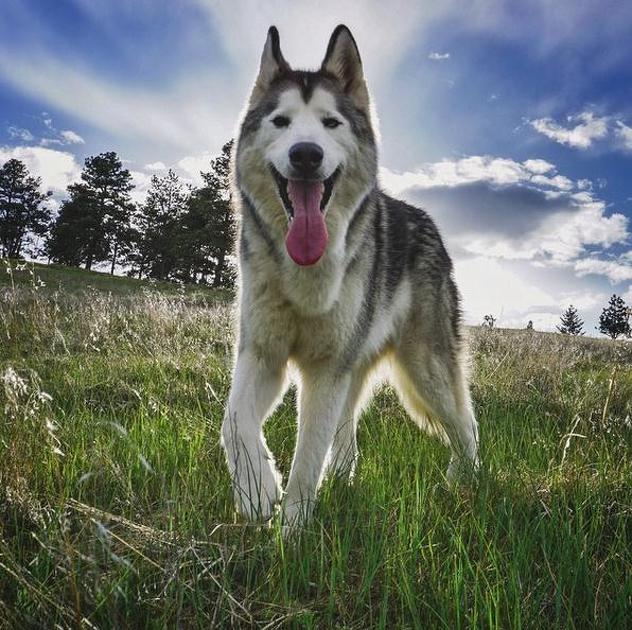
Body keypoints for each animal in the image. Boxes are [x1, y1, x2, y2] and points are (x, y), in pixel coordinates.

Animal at [222, 24, 478, 528]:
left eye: (330, 123)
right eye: (281, 122)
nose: (306, 154)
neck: (306, 274)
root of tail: (429, 222)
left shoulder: (326, 371)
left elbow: (307, 459)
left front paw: (291, 531)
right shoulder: (262, 354)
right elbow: (234, 423)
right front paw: (258, 492)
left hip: (425, 368)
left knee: (466, 423)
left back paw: (464, 483)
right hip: (360, 365)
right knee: (348, 433)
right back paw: (343, 478)